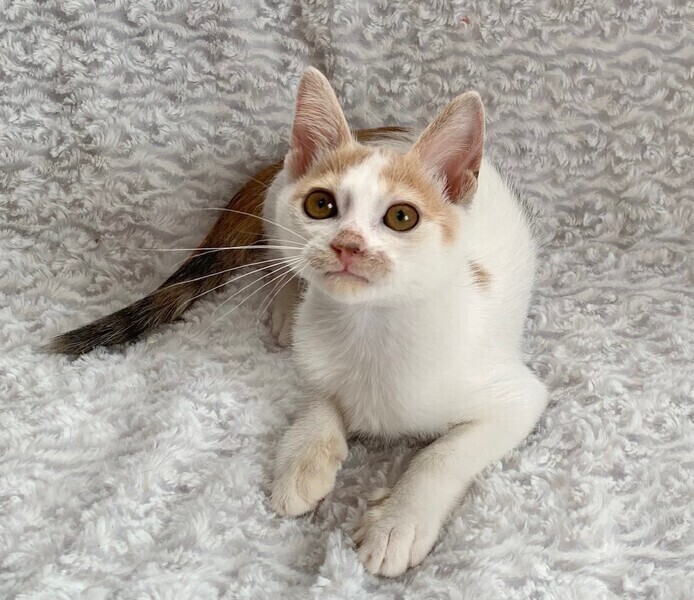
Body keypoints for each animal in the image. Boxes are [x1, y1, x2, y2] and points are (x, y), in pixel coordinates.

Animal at [49, 67, 547, 577]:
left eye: (401, 217)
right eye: (321, 206)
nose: (348, 244)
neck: (370, 331)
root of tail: (381, 129)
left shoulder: (518, 398)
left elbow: (444, 454)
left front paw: (398, 522)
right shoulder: (315, 353)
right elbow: (318, 391)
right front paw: (305, 456)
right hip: (275, 204)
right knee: (278, 256)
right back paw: (287, 306)